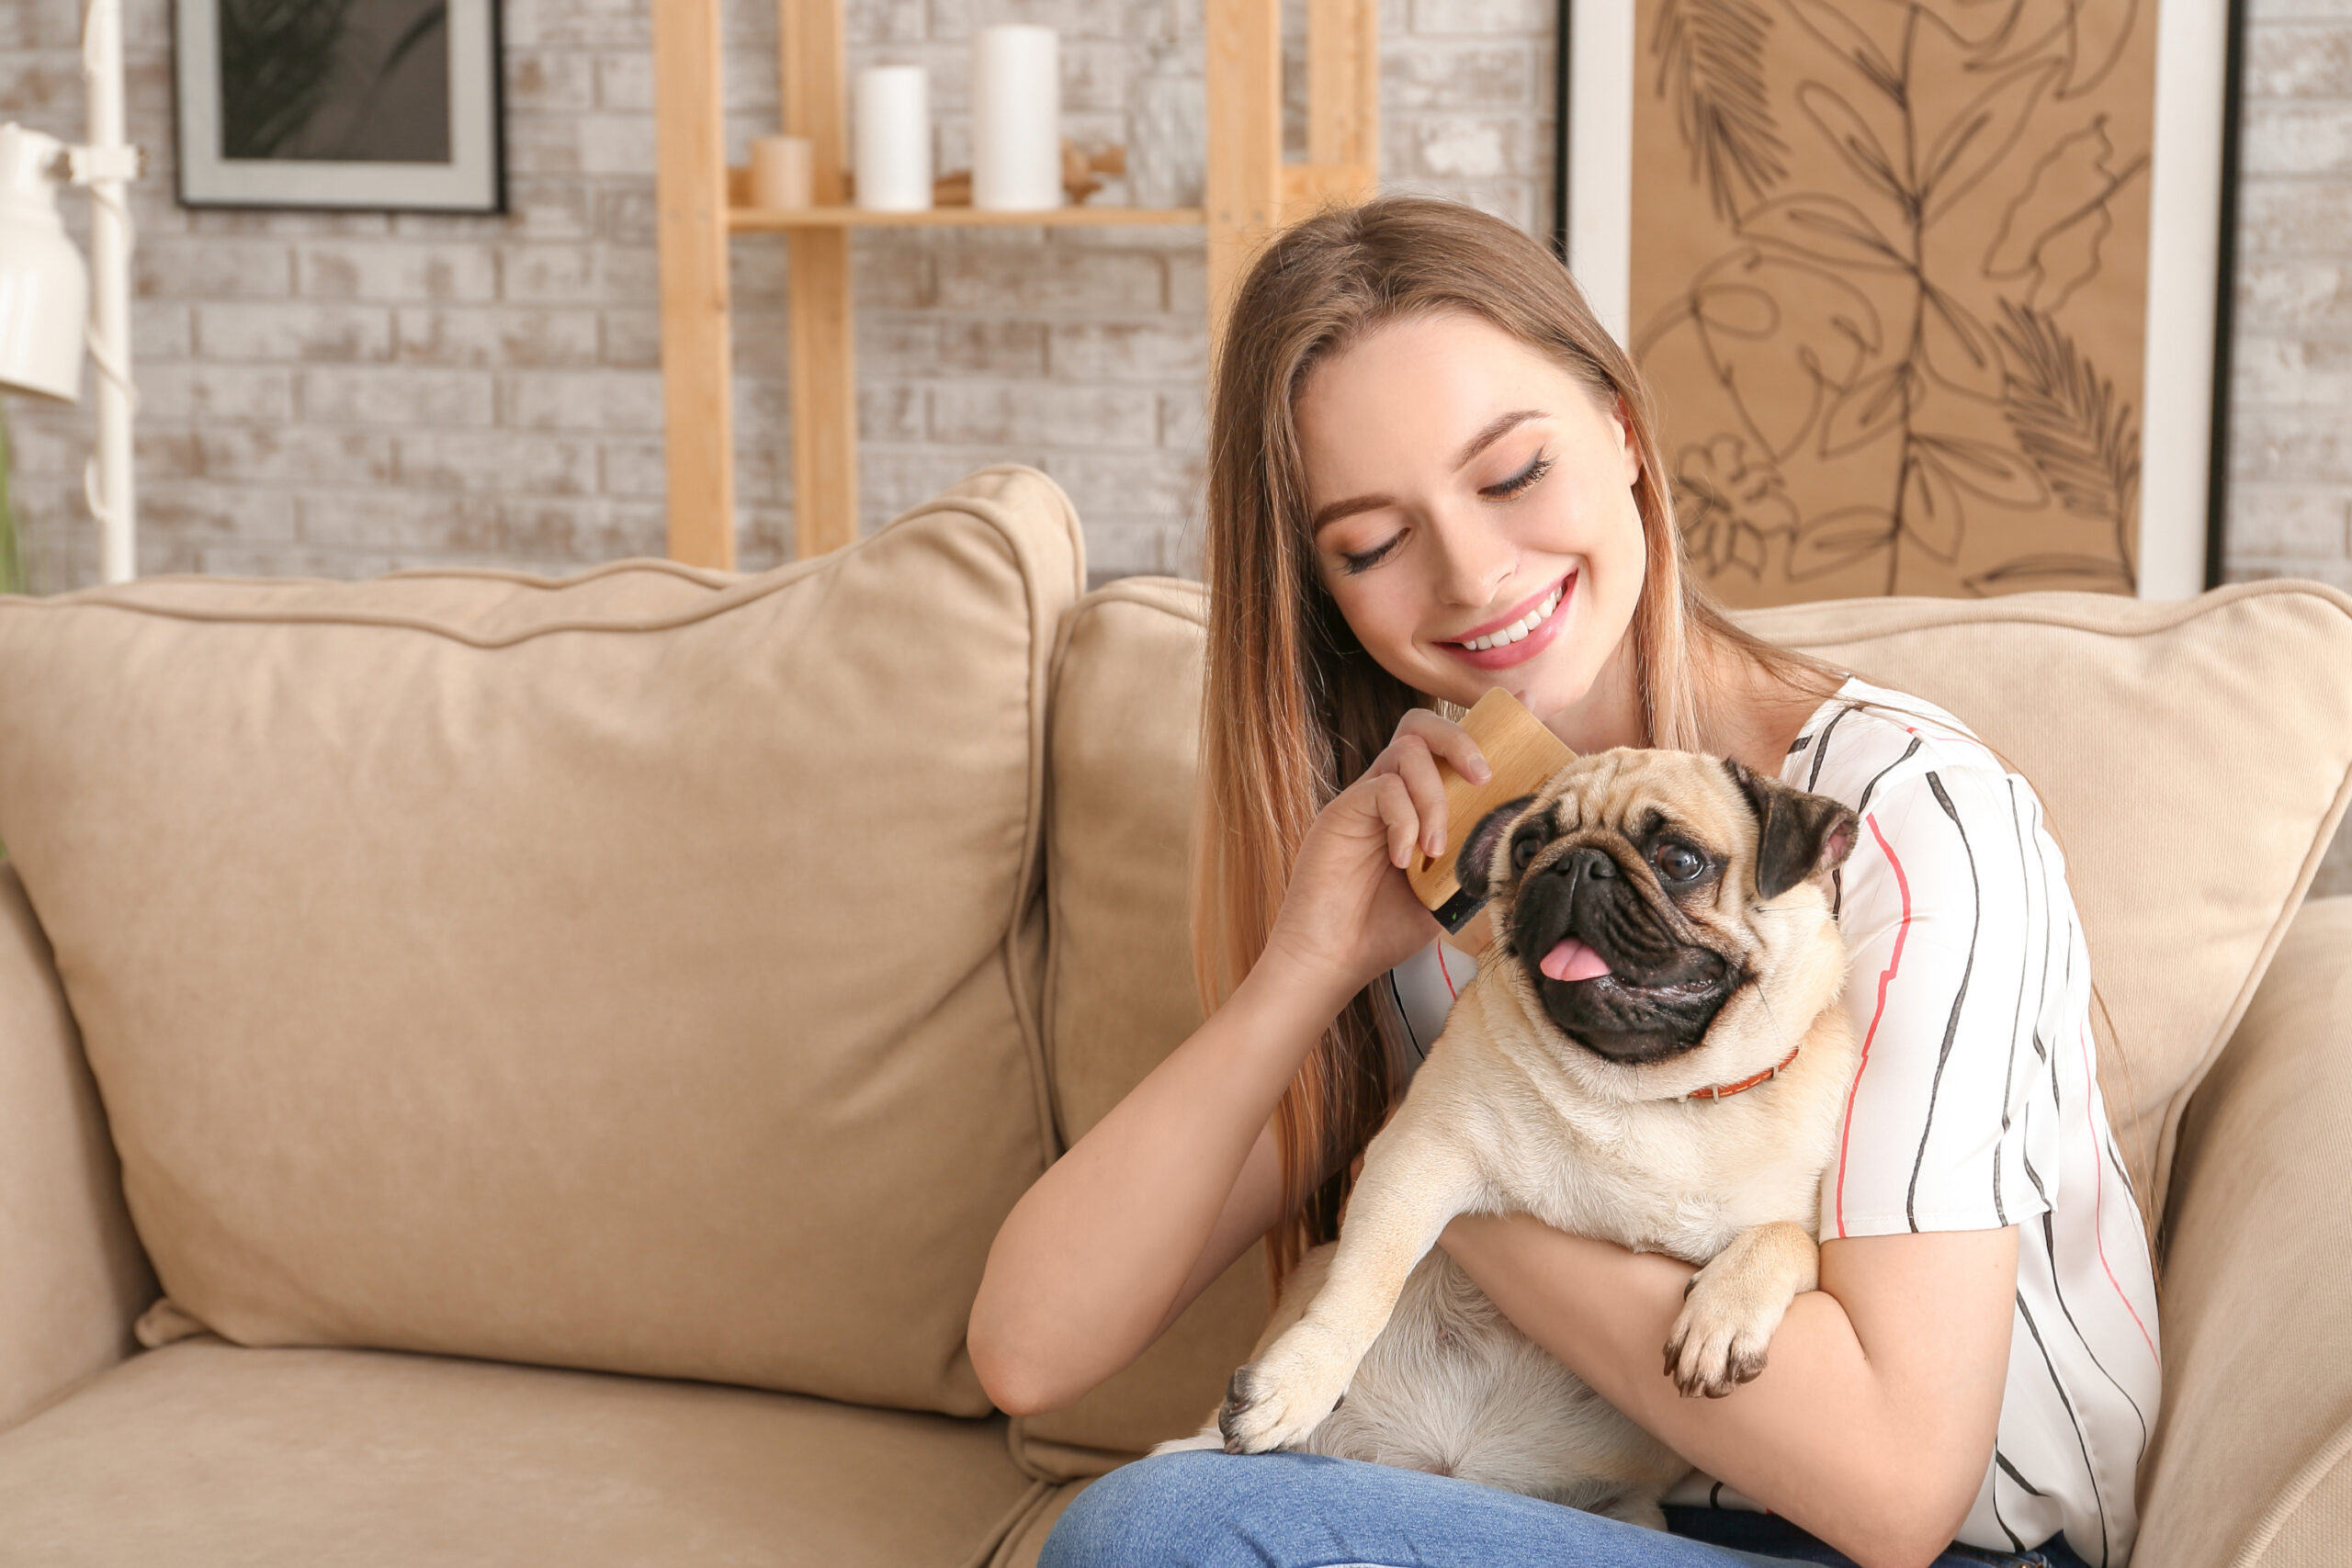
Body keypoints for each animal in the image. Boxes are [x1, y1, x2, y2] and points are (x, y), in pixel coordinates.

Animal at [1157, 751, 1853, 1523]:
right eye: (1526, 848)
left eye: (1680, 860)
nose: (1578, 864)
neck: (1645, 1092)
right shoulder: (1423, 1152)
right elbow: (1366, 1280)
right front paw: (1297, 1381)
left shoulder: (1800, 1228)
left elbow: (1784, 1241)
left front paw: (1720, 1318)